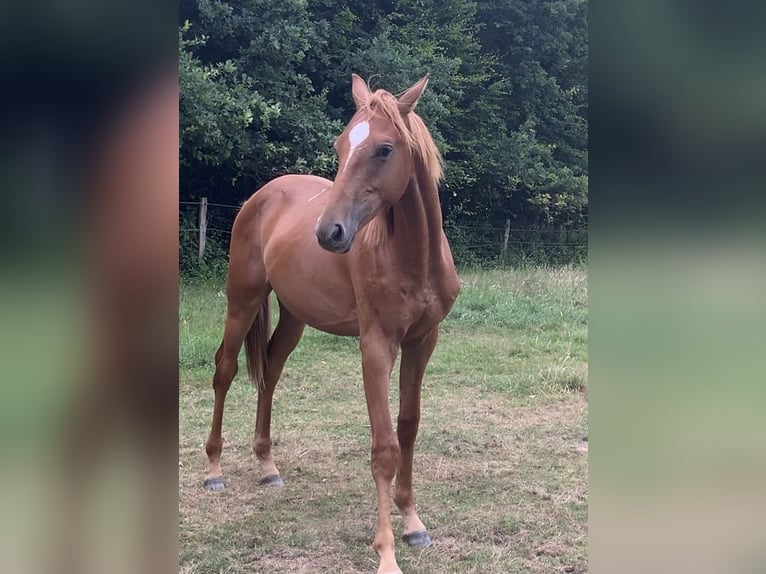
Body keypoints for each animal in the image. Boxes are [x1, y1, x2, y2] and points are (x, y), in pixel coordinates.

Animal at [203, 73, 460, 574]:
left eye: (384, 149)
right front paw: (386, 553)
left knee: (270, 373)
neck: (411, 257)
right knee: (225, 370)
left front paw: (413, 522)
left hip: (294, 318)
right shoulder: (376, 345)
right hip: (242, 301)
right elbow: (383, 446)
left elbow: (408, 427)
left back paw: (268, 467)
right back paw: (214, 471)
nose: (328, 232)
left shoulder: (423, 341)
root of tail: (260, 196)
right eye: (341, 145)